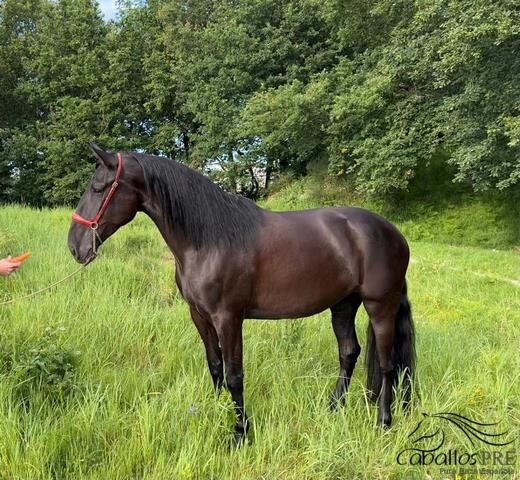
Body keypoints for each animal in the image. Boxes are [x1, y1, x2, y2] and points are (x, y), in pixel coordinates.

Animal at [69, 144, 416, 444]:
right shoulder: (200, 316)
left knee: (387, 363)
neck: (209, 239)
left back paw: (383, 422)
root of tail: (394, 233)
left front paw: (240, 432)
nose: (75, 246)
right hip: (343, 305)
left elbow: (235, 375)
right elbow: (215, 367)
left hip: (379, 306)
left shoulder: (229, 318)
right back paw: (334, 409)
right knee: (349, 352)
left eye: (98, 188)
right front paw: (215, 413)